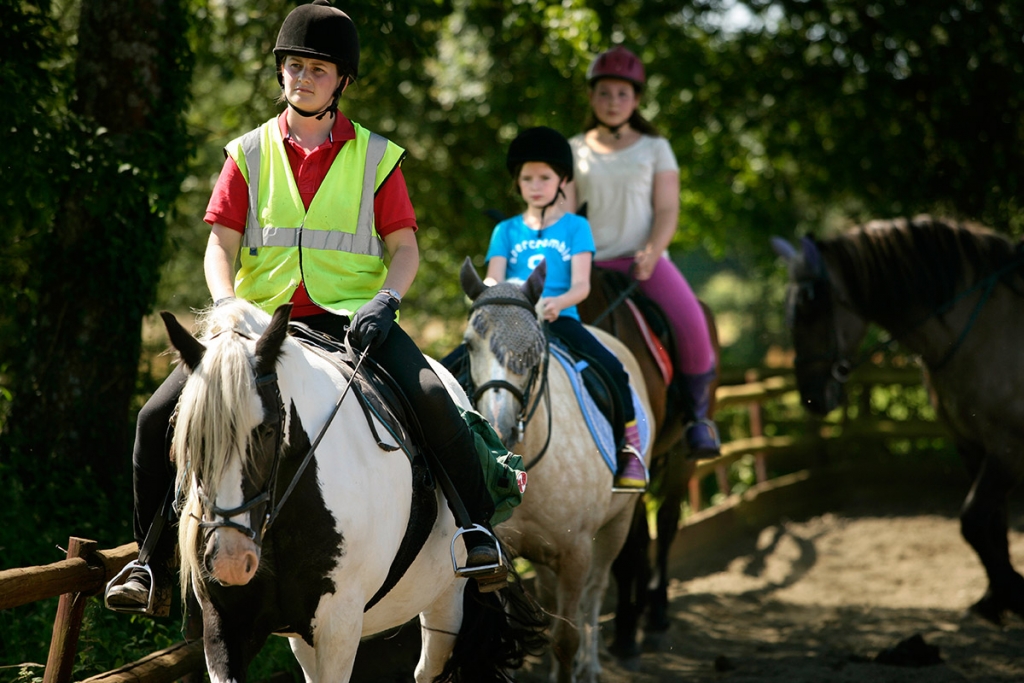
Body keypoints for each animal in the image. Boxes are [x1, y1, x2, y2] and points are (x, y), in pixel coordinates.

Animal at [577, 266, 720, 655]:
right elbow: (630, 543)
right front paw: (626, 620)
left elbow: (632, 545)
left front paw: (627, 632)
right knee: (644, 532)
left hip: (682, 456)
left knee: (668, 523)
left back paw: (655, 611)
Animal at [770, 218, 1024, 626]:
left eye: (812, 307)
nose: (810, 396)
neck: (986, 328)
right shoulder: (972, 445)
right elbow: (991, 525)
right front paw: (996, 598)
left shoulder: (1008, 448)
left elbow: (972, 520)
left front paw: (1014, 593)